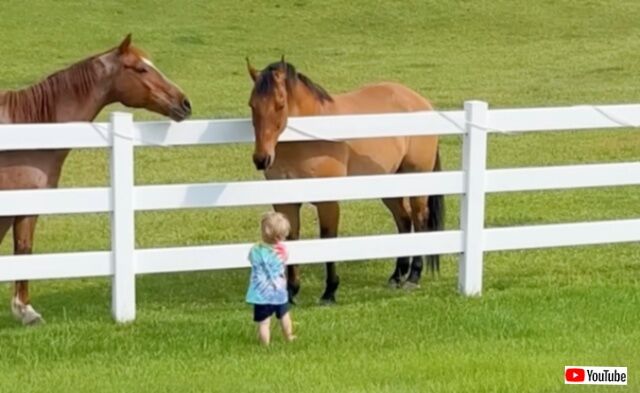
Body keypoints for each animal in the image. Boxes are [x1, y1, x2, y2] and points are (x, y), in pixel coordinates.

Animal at [246, 58, 444, 304]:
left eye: (280, 104)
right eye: (252, 105)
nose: (261, 158)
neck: (309, 137)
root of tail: (421, 101)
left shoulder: (328, 202)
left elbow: (328, 239)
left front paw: (330, 291)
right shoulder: (286, 203)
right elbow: (291, 240)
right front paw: (291, 292)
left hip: (417, 182)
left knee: (418, 219)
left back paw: (413, 277)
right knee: (404, 220)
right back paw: (397, 275)